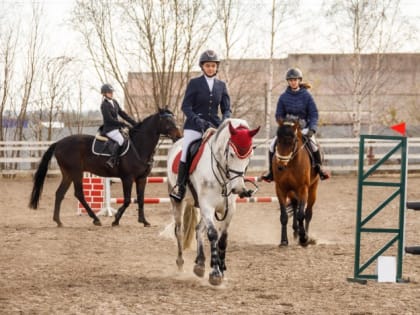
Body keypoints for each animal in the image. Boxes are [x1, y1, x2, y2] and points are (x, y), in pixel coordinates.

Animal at [29, 108, 180, 227]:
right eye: (167, 121)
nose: (179, 136)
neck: (139, 147)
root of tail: (59, 142)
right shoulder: (127, 178)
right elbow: (127, 200)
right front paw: (116, 219)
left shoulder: (142, 178)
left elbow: (141, 199)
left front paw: (144, 221)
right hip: (76, 173)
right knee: (79, 194)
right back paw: (95, 219)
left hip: (68, 174)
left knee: (60, 193)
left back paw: (58, 221)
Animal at [167, 118, 260, 286]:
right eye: (231, 154)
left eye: (250, 155)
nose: (238, 189)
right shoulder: (207, 207)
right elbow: (213, 235)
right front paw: (215, 273)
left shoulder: (229, 210)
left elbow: (223, 239)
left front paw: (221, 270)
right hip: (177, 201)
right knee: (179, 231)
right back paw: (181, 263)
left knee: (198, 229)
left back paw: (200, 264)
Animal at [272, 118, 318, 247]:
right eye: (278, 141)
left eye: (293, 141)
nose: (280, 166)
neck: (290, 164)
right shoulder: (281, 189)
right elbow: (284, 216)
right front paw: (283, 241)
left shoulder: (303, 189)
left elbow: (301, 214)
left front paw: (304, 238)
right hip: (292, 191)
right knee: (294, 204)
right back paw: (296, 232)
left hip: (313, 189)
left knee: (308, 213)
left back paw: (305, 236)